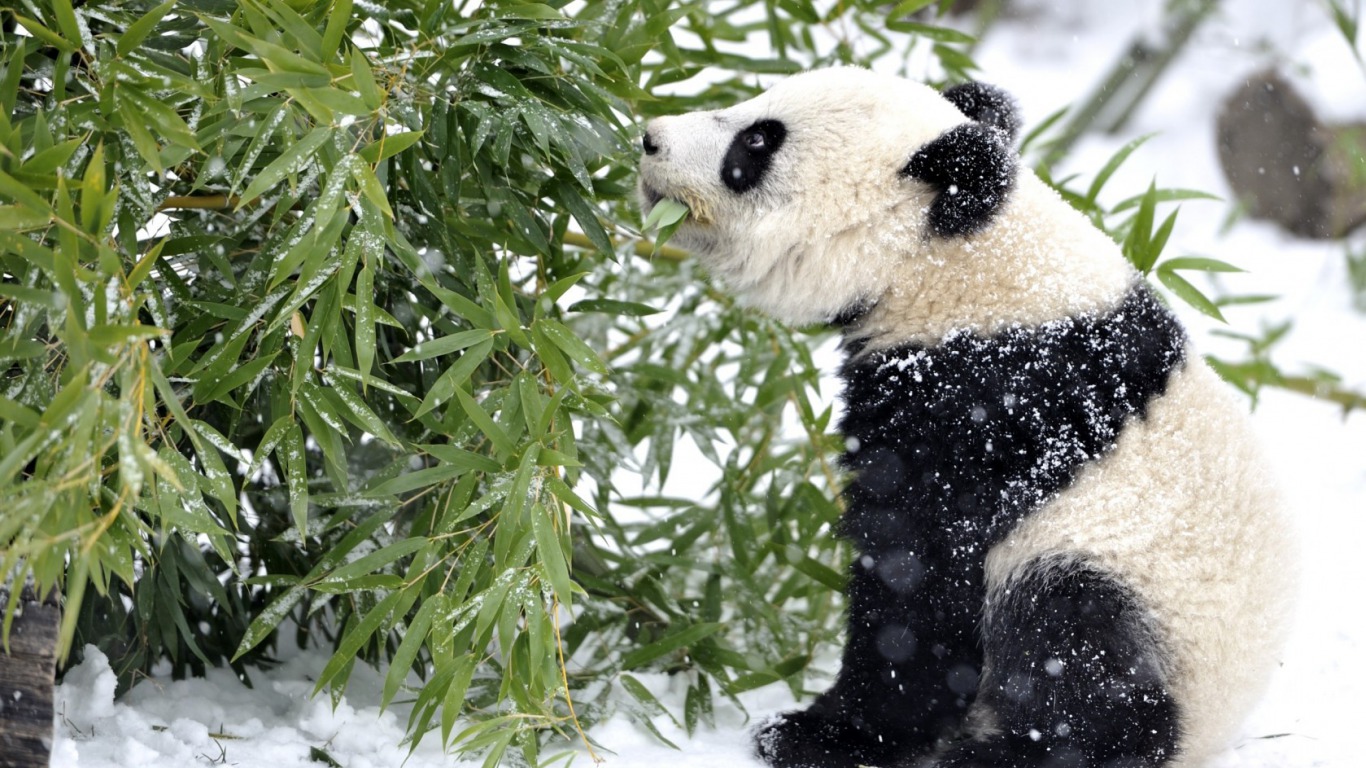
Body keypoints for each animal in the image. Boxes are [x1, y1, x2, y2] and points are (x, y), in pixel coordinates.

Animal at [637, 67, 1296, 768]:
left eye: (757, 143)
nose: (649, 138)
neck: (968, 265)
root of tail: (1212, 734)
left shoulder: (984, 410)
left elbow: (918, 581)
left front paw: (815, 734)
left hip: (1138, 591)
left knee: (1075, 656)